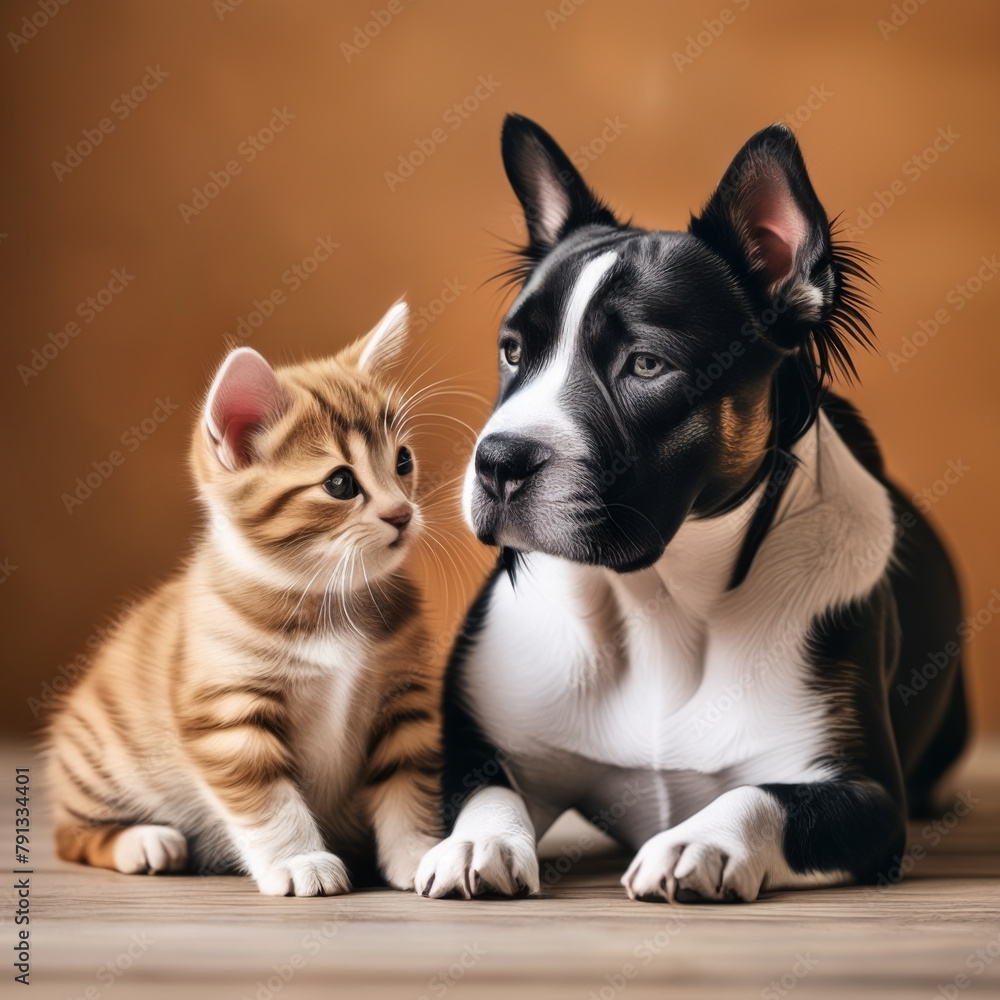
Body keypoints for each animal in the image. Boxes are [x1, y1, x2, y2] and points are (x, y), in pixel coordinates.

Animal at [43, 300, 442, 896]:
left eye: (403, 462)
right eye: (341, 484)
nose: (401, 514)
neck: (331, 601)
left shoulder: (404, 703)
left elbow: (406, 783)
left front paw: (420, 852)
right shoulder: (228, 713)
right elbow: (270, 800)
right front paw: (300, 860)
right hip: (101, 767)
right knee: (69, 836)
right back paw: (143, 840)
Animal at [414, 113, 968, 904]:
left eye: (647, 367)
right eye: (513, 352)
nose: (500, 460)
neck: (658, 597)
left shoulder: (862, 796)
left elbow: (763, 797)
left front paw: (698, 842)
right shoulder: (482, 752)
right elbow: (488, 795)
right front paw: (476, 842)